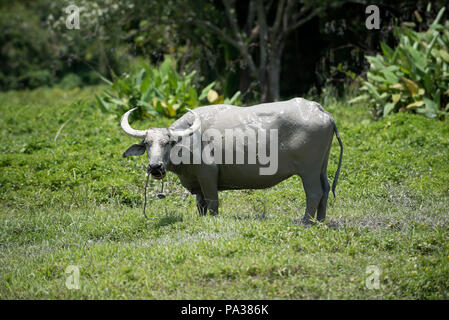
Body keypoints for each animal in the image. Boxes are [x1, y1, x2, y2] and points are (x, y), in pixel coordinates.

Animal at [121, 97, 342, 222]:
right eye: (147, 143)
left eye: (168, 142)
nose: (155, 166)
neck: (190, 141)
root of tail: (322, 111)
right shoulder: (197, 183)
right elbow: (200, 204)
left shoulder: (208, 174)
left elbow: (212, 202)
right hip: (321, 167)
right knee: (325, 190)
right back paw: (320, 221)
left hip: (309, 171)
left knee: (314, 193)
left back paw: (306, 221)